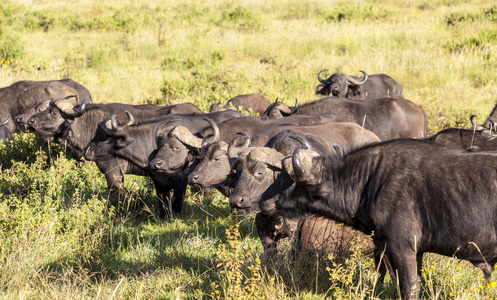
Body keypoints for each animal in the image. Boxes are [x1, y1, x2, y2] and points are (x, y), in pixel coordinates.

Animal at [262, 139, 497, 298]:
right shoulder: (414, 251)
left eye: (286, 177)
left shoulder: (401, 247)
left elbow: (408, 287)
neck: (369, 179)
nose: (262, 201)